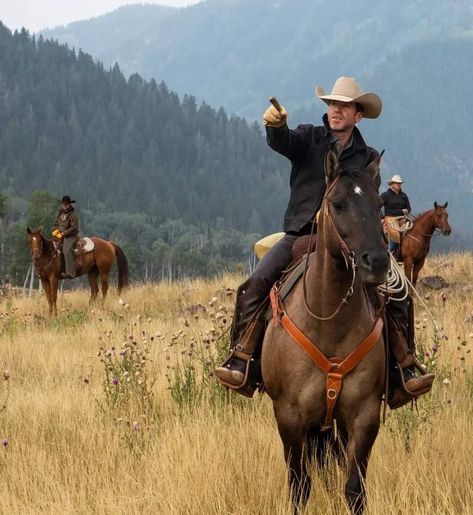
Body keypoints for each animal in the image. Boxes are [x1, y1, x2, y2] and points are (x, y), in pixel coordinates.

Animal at [260, 151, 390, 512]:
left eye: (380, 206)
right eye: (337, 203)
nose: (377, 262)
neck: (329, 323)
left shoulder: (364, 415)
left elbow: (354, 488)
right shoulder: (288, 416)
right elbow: (299, 485)